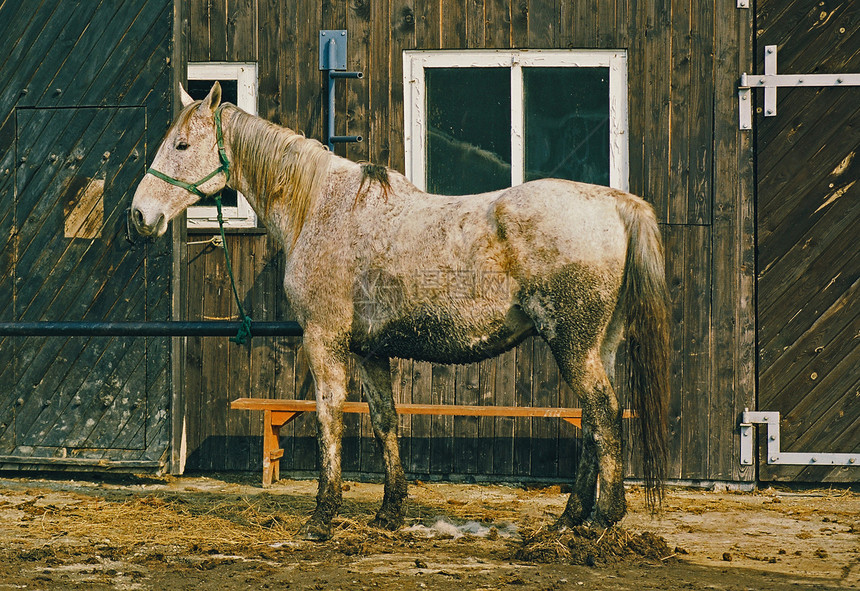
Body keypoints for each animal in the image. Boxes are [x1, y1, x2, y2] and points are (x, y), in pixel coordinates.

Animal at [133, 82, 672, 540]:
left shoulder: (324, 339)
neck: (322, 207)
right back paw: (568, 520)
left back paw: (602, 520)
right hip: (597, 347)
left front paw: (322, 517)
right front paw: (389, 512)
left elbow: (330, 417)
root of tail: (615, 204)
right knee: (594, 422)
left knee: (603, 414)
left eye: (182, 145)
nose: (140, 216)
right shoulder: (370, 352)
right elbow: (384, 421)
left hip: (573, 344)